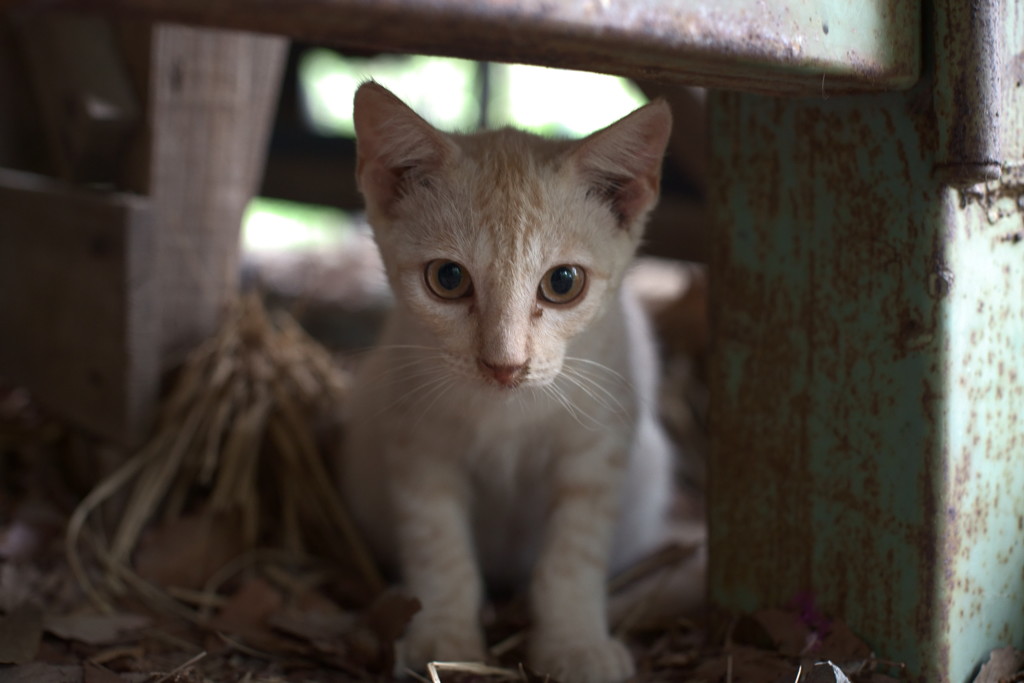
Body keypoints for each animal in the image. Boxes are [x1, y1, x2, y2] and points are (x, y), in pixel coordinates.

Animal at [344, 83, 675, 683]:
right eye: (448, 278)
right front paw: (443, 637)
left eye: (563, 282)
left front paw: (574, 642)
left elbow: (573, 553)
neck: (504, 414)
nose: (505, 364)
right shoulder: (417, 443)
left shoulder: (599, 447)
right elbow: (438, 544)